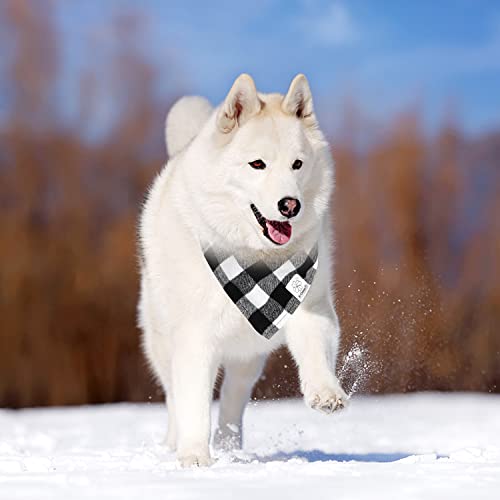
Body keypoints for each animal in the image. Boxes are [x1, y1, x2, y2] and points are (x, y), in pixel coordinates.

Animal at [138, 74, 348, 468]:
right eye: (257, 164)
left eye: (297, 164)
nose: (290, 205)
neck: (254, 258)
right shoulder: (194, 337)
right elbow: (193, 404)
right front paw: (193, 458)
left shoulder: (309, 308)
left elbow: (315, 352)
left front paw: (326, 393)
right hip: (161, 342)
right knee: (174, 396)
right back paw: (176, 444)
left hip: (249, 356)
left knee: (233, 399)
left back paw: (229, 446)